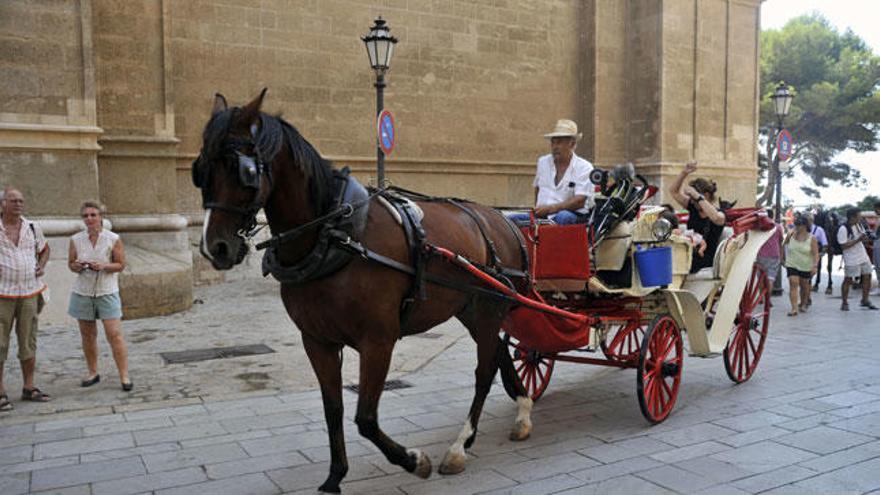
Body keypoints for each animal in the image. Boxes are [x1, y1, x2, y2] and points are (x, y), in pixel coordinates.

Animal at [193, 91, 532, 494]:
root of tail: (504, 221)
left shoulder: (378, 341)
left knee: (484, 372)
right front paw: (335, 475)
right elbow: (334, 408)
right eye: (200, 170)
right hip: (470, 309)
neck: (335, 235)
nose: (215, 247)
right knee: (499, 353)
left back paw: (459, 446)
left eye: (243, 171)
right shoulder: (317, 341)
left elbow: (366, 418)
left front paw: (413, 460)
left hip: (489, 308)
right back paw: (522, 409)